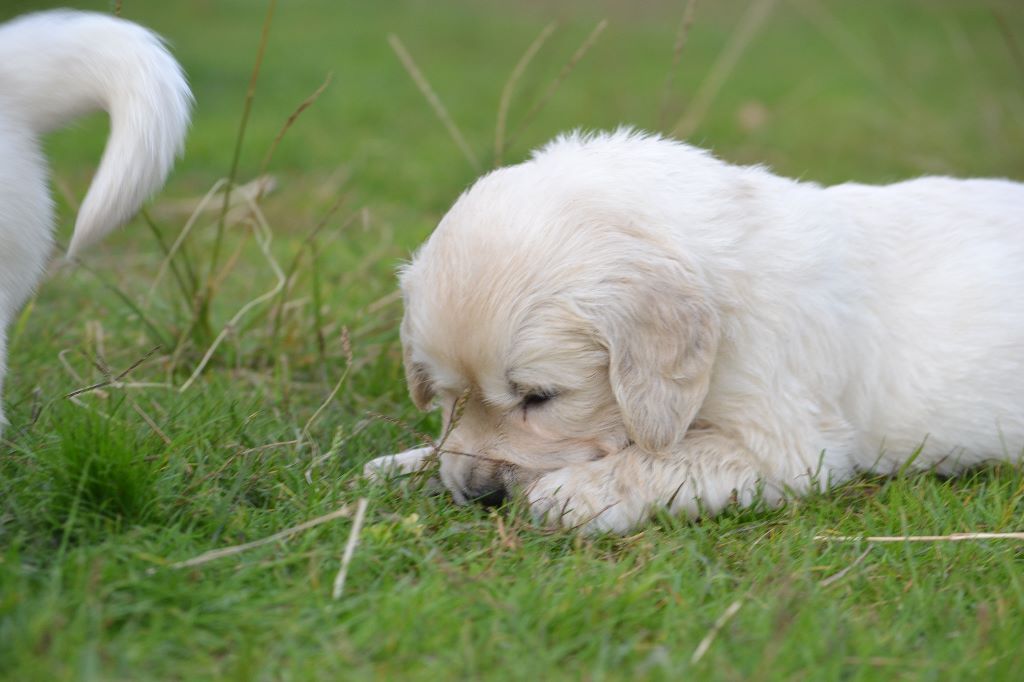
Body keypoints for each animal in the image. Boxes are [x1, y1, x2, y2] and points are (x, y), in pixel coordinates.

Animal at [368, 127, 1024, 532]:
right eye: (448, 397)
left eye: (540, 398)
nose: (480, 495)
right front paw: (407, 463)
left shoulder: (785, 444)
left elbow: (667, 460)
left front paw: (575, 491)